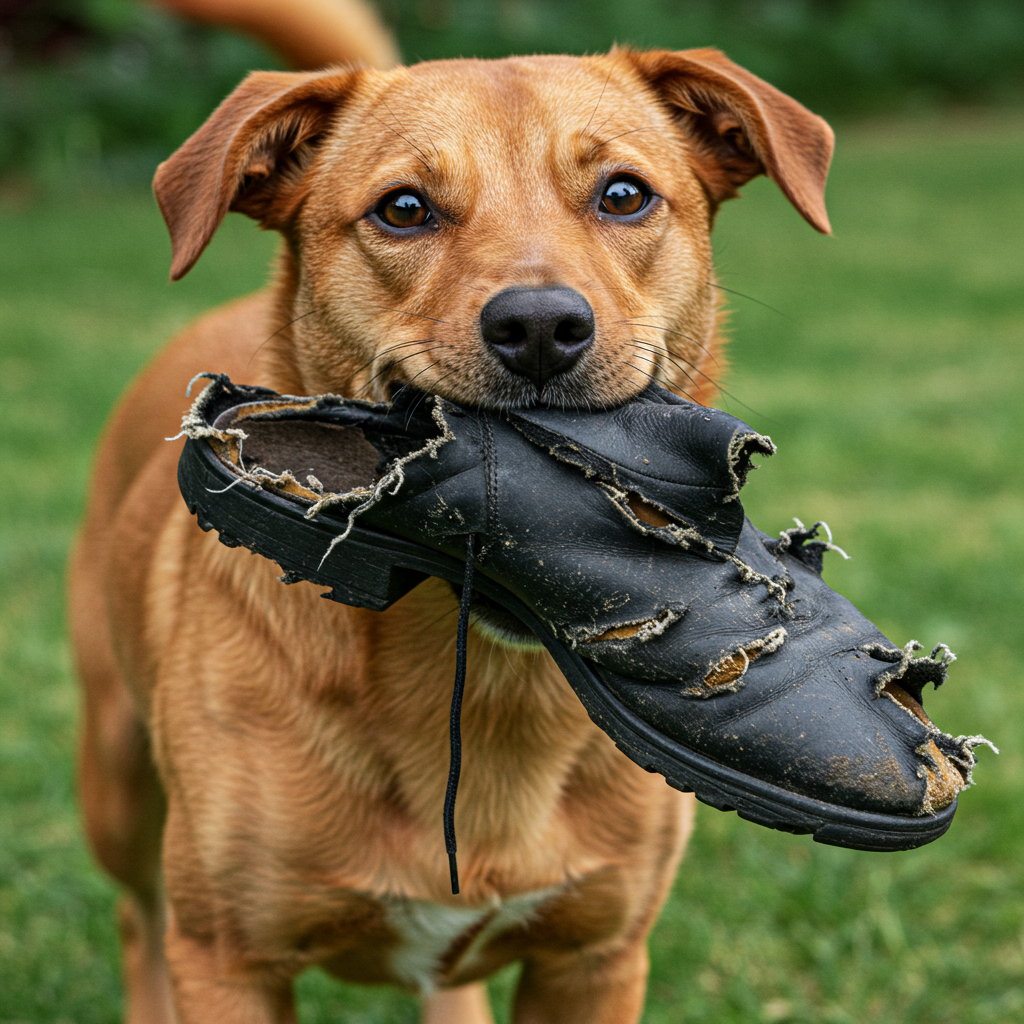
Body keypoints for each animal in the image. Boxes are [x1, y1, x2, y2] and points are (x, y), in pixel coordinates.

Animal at [72, 49, 835, 1024]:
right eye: (404, 208)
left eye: (624, 195)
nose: (541, 326)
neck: (481, 691)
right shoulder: (230, 960)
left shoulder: (595, 958)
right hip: (118, 786)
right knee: (138, 917)